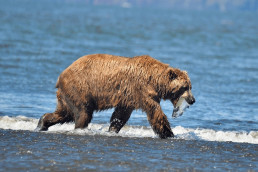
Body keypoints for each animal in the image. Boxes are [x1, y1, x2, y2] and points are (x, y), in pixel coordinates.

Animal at [35, 53, 195, 138]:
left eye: (190, 86)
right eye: (185, 87)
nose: (192, 100)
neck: (156, 81)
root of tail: (61, 75)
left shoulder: (129, 97)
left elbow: (120, 115)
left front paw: (113, 129)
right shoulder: (142, 90)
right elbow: (155, 112)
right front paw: (169, 133)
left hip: (68, 95)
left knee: (64, 112)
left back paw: (42, 123)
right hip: (80, 88)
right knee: (83, 112)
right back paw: (80, 128)